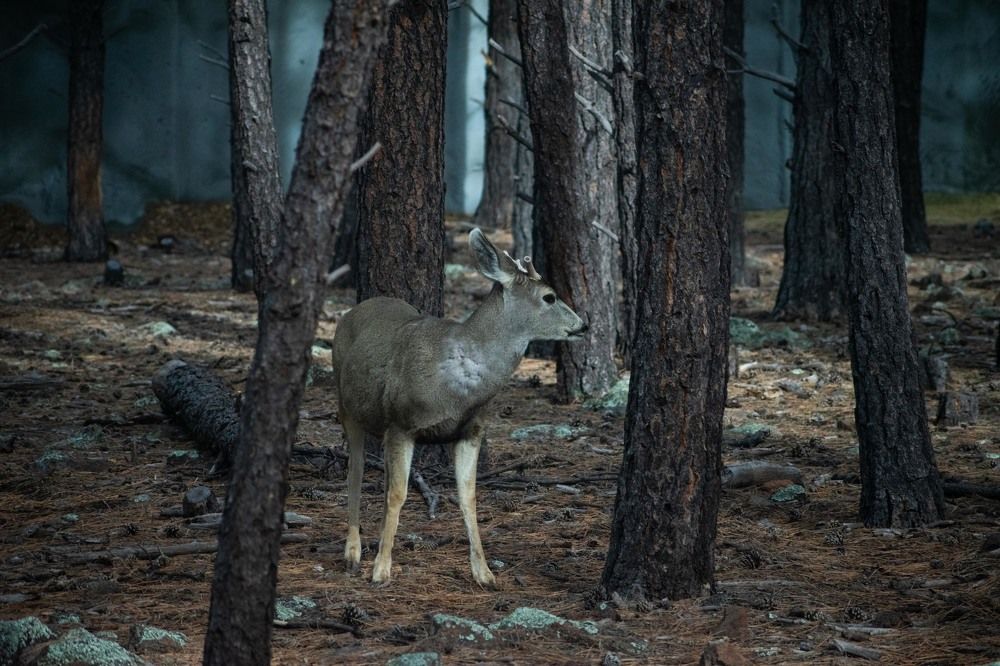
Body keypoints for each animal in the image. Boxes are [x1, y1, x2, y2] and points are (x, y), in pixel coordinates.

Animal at [332, 228, 587, 586]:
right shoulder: (402, 423)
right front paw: (381, 570)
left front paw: (485, 573)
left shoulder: (471, 430)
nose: (583, 325)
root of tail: (352, 311)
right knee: (354, 471)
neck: (459, 389)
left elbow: (468, 497)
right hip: (346, 405)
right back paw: (352, 553)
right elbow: (399, 494)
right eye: (549, 296)